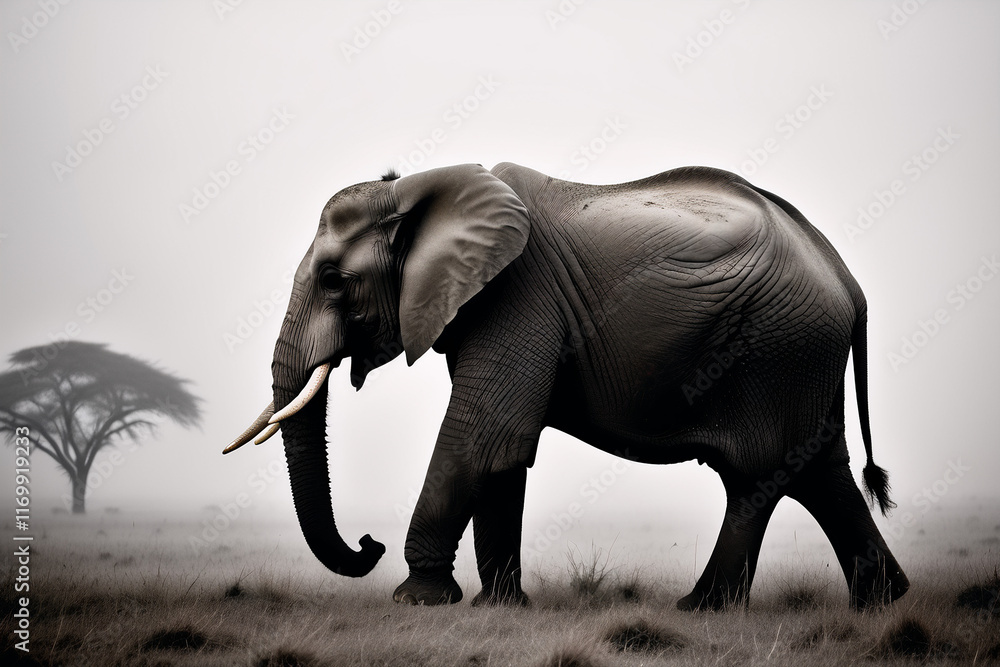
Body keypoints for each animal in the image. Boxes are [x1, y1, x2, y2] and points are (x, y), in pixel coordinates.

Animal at [226, 162, 909, 610]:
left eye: (334, 280)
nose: (368, 541)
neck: (421, 188)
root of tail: (847, 280)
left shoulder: (516, 297)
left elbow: (480, 435)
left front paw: (419, 600)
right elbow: (501, 452)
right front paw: (500, 608)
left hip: (777, 348)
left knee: (759, 476)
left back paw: (706, 610)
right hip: (796, 355)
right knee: (815, 471)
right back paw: (879, 603)